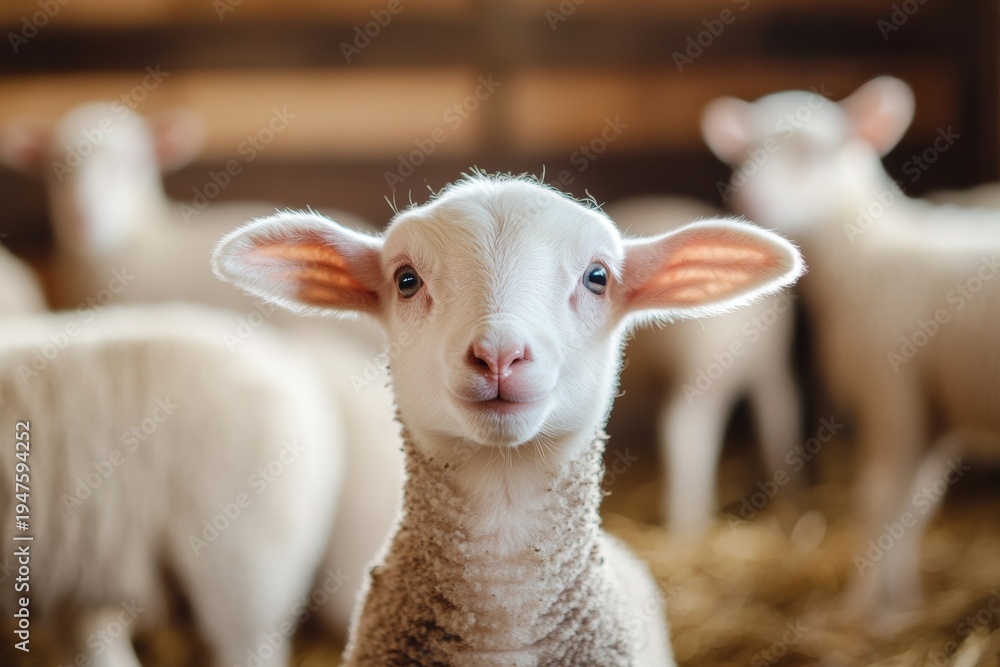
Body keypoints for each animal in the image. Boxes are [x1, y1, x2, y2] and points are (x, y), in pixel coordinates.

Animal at [701, 76, 1000, 615]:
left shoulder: (892, 389)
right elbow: (915, 507)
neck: (865, 256)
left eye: (813, 150)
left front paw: (861, 611)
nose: (747, 195)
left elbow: (879, 500)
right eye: (744, 151)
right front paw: (903, 606)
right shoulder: (931, 407)